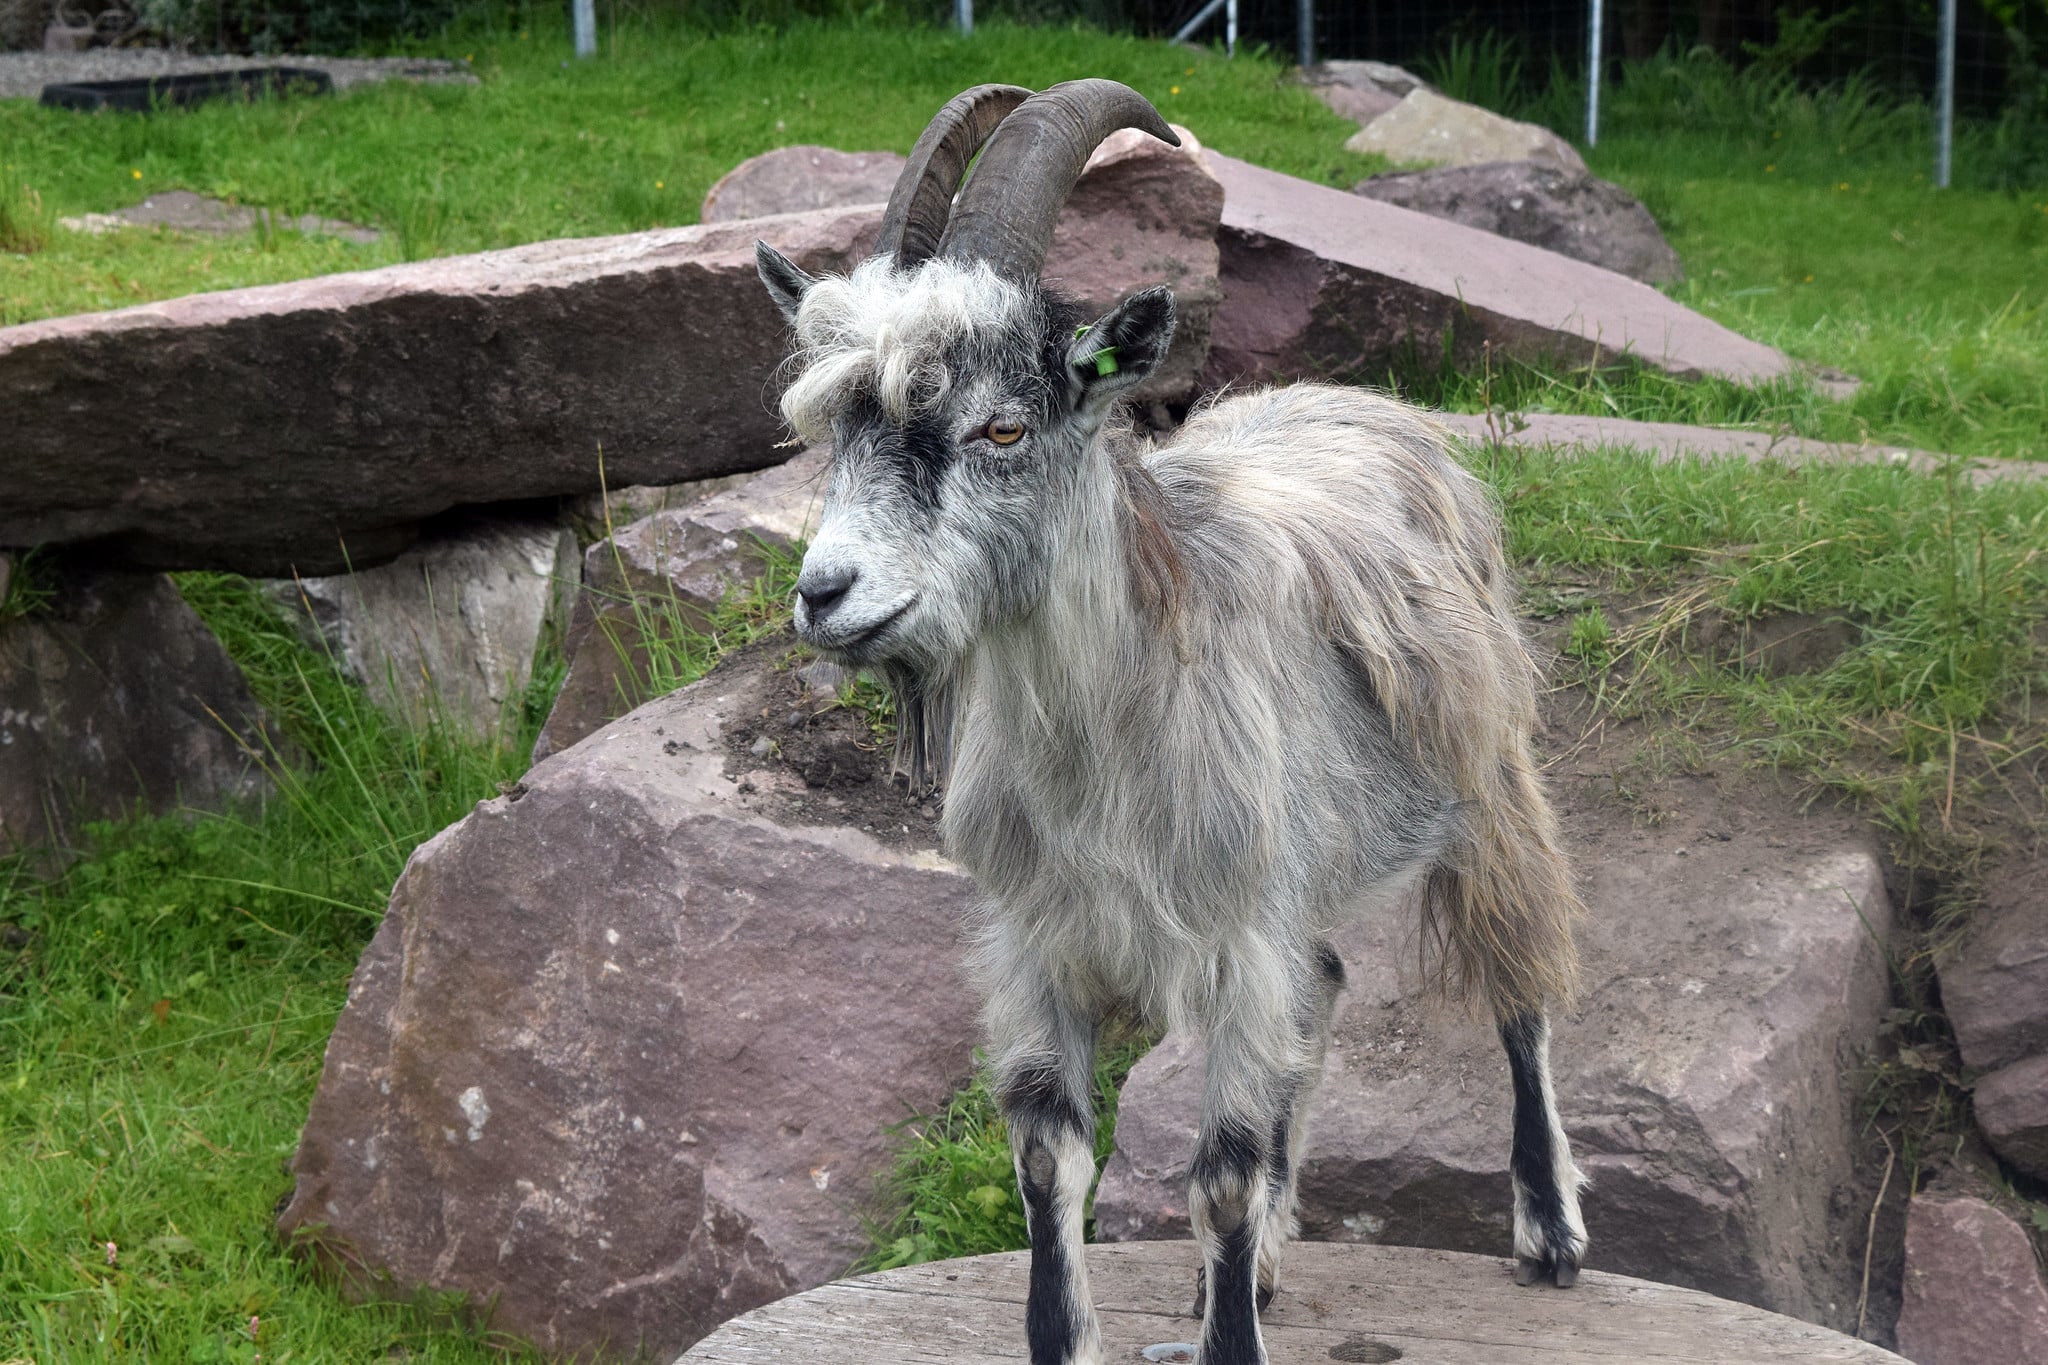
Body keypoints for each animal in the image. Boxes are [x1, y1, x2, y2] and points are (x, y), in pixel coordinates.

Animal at [753, 80, 1588, 1365]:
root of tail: (1364, 402)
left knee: (1521, 974)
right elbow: (1048, 1157)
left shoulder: (1236, 936)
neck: (1100, 758)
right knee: (1327, 979)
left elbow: (1221, 1175)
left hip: (1489, 770)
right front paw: (1084, 1331)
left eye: (1001, 428)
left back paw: (1547, 1232)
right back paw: (1263, 1268)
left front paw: (1230, 1324)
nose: (826, 593)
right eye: (830, 428)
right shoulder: (1036, 938)